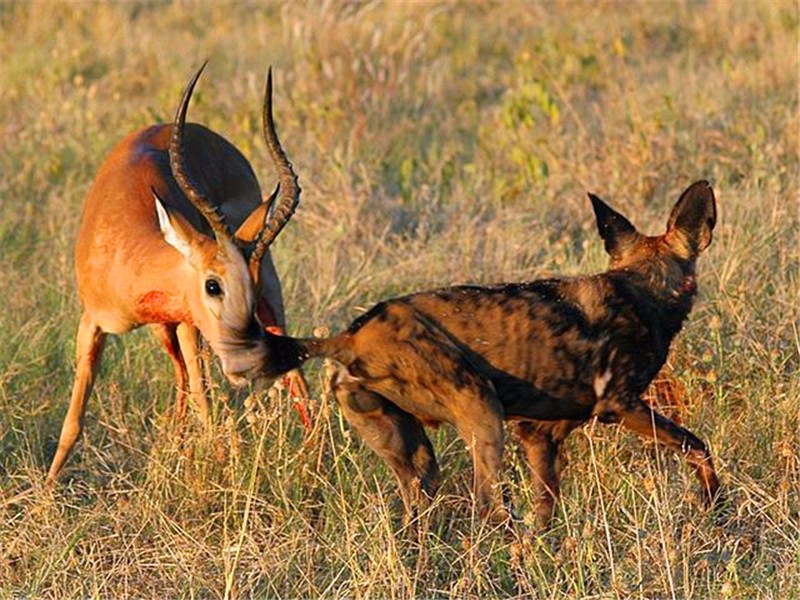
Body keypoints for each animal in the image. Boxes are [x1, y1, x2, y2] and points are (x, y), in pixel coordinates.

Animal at [47, 64, 304, 482]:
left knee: (296, 379)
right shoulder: (93, 323)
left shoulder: (188, 324)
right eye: (212, 285)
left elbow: (206, 404)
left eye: (248, 287)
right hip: (164, 331)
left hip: (266, 302)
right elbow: (73, 421)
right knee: (183, 381)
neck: (128, 253)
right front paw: (46, 491)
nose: (245, 363)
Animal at [260, 182, 720, 524]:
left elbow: (543, 514)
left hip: (414, 456)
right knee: (489, 508)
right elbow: (699, 449)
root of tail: (350, 336)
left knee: (421, 513)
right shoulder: (622, 405)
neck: (643, 286)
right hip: (482, 410)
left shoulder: (539, 436)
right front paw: (714, 509)